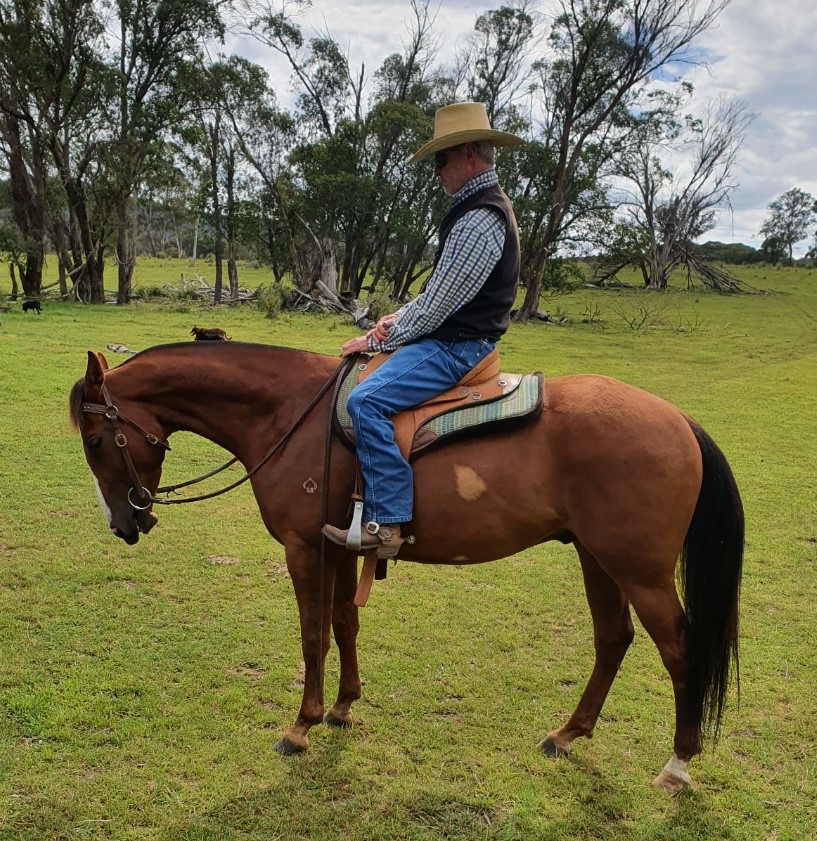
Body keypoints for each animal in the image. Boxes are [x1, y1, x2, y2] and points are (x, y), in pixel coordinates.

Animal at [68, 342, 743, 793]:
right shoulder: (342, 547)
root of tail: (679, 421)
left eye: (97, 442)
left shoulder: (303, 548)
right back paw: (568, 733)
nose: (125, 524)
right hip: (596, 557)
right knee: (613, 639)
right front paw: (342, 708)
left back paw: (678, 764)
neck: (288, 413)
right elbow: (344, 624)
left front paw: (301, 726)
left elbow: (313, 635)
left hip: (639, 571)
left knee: (678, 651)